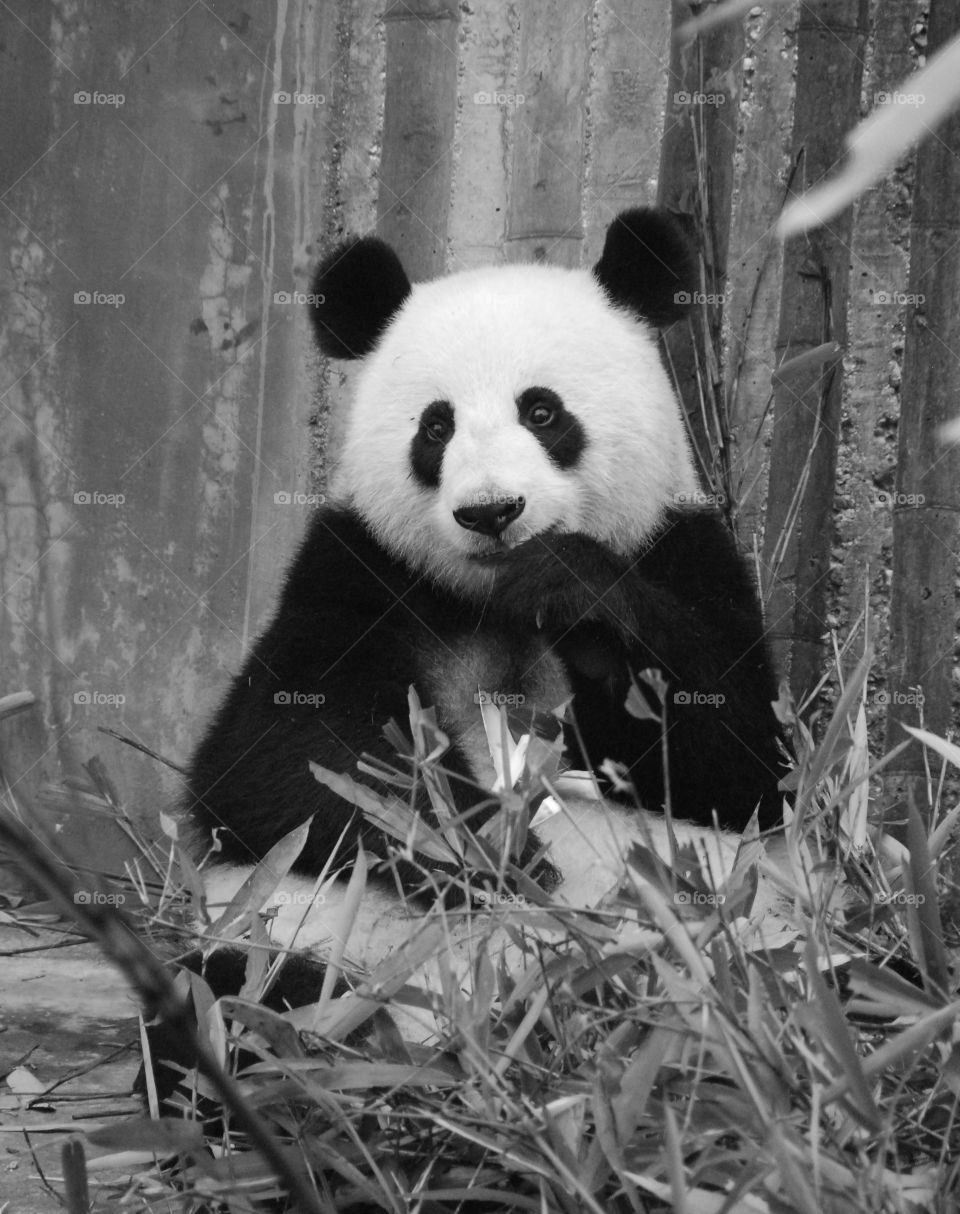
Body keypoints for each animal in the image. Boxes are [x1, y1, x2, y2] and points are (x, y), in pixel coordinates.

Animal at [174, 208, 789, 1052]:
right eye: (436, 427)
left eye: (542, 411)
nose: (491, 512)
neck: (492, 599)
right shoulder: (355, 572)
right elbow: (280, 762)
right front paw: (490, 850)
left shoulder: (680, 546)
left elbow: (743, 762)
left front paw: (572, 590)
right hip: (291, 937)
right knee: (233, 996)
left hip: (736, 953)